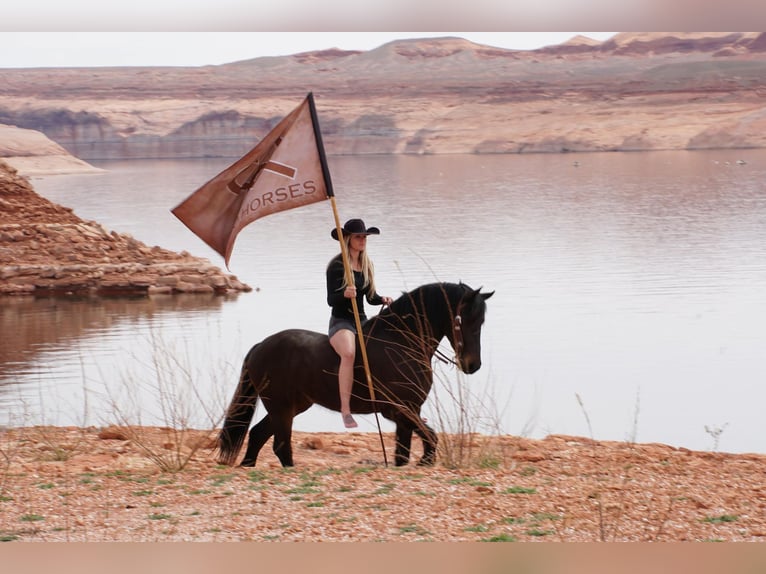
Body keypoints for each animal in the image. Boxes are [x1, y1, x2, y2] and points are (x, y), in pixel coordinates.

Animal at [218, 282, 492, 468]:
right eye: (463, 319)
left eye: (481, 322)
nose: (473, 364)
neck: (401, 343)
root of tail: (260, 346)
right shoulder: (400, 409)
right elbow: (431, 437)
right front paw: (426, 460)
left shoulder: (408, 412)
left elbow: (403, 453)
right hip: (281, 408)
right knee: (280, 445)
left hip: (290, 407)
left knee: (257, 436)